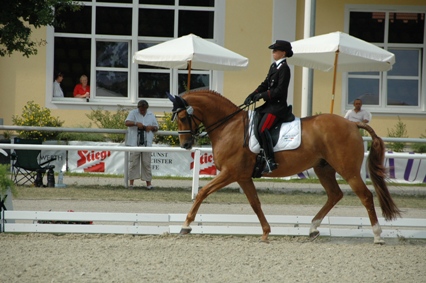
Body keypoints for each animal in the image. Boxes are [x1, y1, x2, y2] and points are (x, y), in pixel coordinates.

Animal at [168, 90, 402, 244]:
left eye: (183, 116)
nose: (185, 144)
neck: (229, 126)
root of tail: (353, 124)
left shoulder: (230, 173)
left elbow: (202, 192)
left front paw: (186, 225)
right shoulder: (243, 176)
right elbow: (255, 203)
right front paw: (265, 232)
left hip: (348, 170)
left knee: (365, 196)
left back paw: (377, 235)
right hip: (323, 168)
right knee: (335, 194)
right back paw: (313, 228)